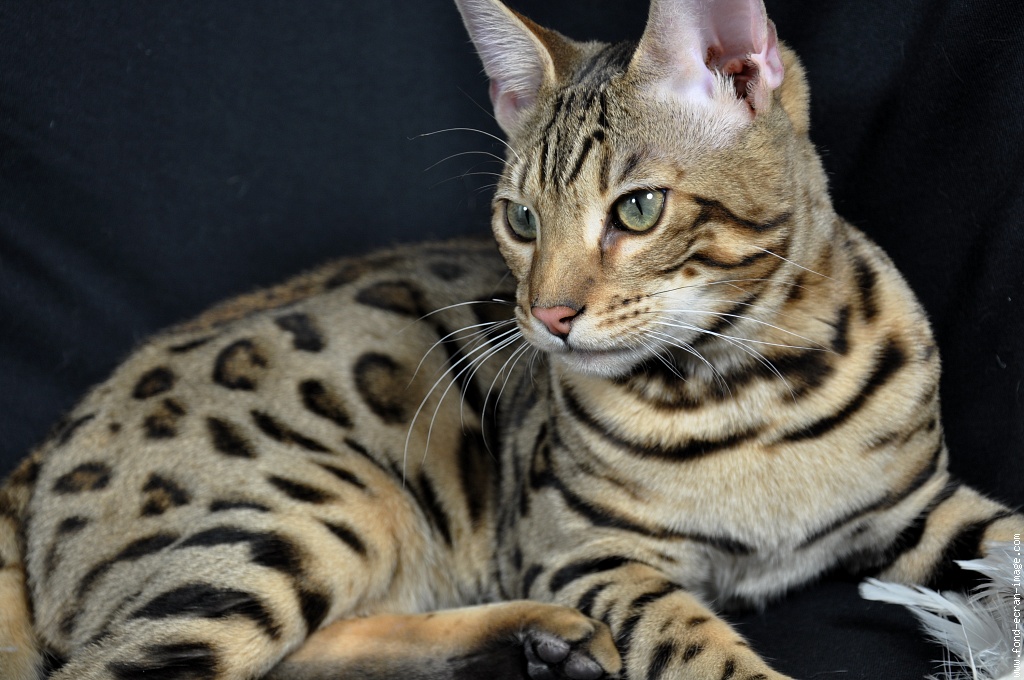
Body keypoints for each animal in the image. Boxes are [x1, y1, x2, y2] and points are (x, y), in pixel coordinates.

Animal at [0, 1, 1019, 680]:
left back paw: (539, 639)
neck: (757, 387)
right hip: (310, 513)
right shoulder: (585, 552)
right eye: (521, 220)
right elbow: (698, 645)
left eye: (638, 209)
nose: (548, 315)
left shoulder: (921, 505)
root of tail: (35, 458)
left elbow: (1006, 538)